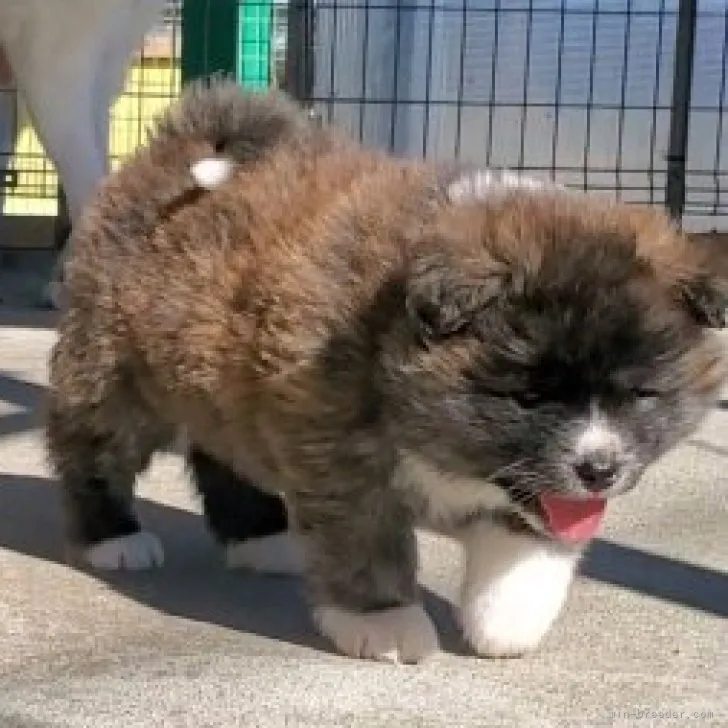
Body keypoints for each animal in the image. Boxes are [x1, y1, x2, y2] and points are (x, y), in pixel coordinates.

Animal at [48, 79, 724, 664]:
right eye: (528, 397)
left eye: (640, 394)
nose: (599, 469)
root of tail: (181, 144)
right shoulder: (341, 458)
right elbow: (367, 544)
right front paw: (384, 623)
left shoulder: (532, 495)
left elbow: (527, 552)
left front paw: (506, 621)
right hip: (112, 376)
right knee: (94, 453)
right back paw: (114, 538)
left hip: (213, 383)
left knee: (223, 455)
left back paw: (260, 538)